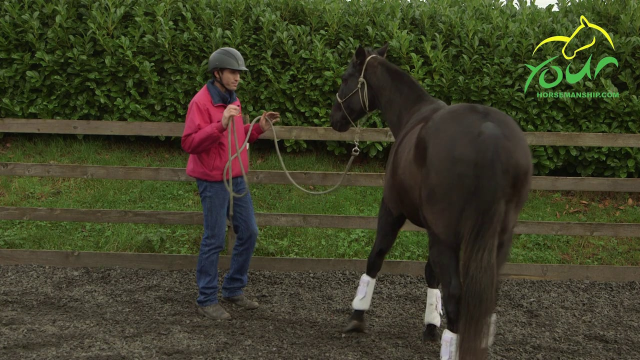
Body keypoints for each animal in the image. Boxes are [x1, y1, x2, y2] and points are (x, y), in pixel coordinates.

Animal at [330, 43, 536, 360]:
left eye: (344, 78)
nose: (334, 118)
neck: (413, 114)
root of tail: (489, 136)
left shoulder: (393, 210)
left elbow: (376, 256)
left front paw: (357, 316)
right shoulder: (434, 231)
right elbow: (430, 273)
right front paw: (430, 325)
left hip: (446, 237)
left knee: (455, 294)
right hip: (497, 240)